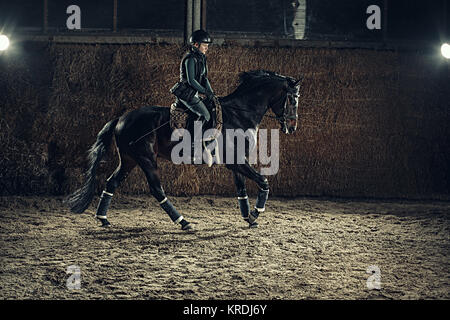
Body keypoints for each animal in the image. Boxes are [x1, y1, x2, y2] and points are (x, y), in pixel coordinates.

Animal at [67, 69, 300, 230]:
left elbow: (241, 190)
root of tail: (121, 118)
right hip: (146, 159)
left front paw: (249, 218)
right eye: (292, 98)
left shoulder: (236, 162)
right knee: (157, 190)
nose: (292, 126)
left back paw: (103, 218)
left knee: (111, 182)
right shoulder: (237, 161)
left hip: (129, 159)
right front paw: (256, 212)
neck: (239, 114)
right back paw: (183, 221)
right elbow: (264, 182)